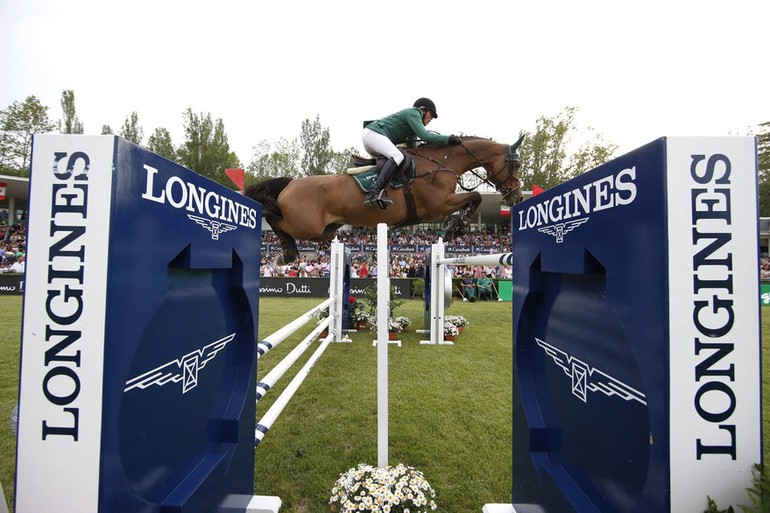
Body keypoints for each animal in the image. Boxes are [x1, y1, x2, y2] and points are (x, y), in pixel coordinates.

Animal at [244, 135, 520, 264]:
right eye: (516, 165)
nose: (516, 195)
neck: (442, 162)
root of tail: (290, 184)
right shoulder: (438, 205)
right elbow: (475, 196)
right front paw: (456, 228)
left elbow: (473, 198)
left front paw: (453, 227)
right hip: (305, 225)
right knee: (273, 216)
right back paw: (287, 252)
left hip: (324, 229)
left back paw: (288, 252)